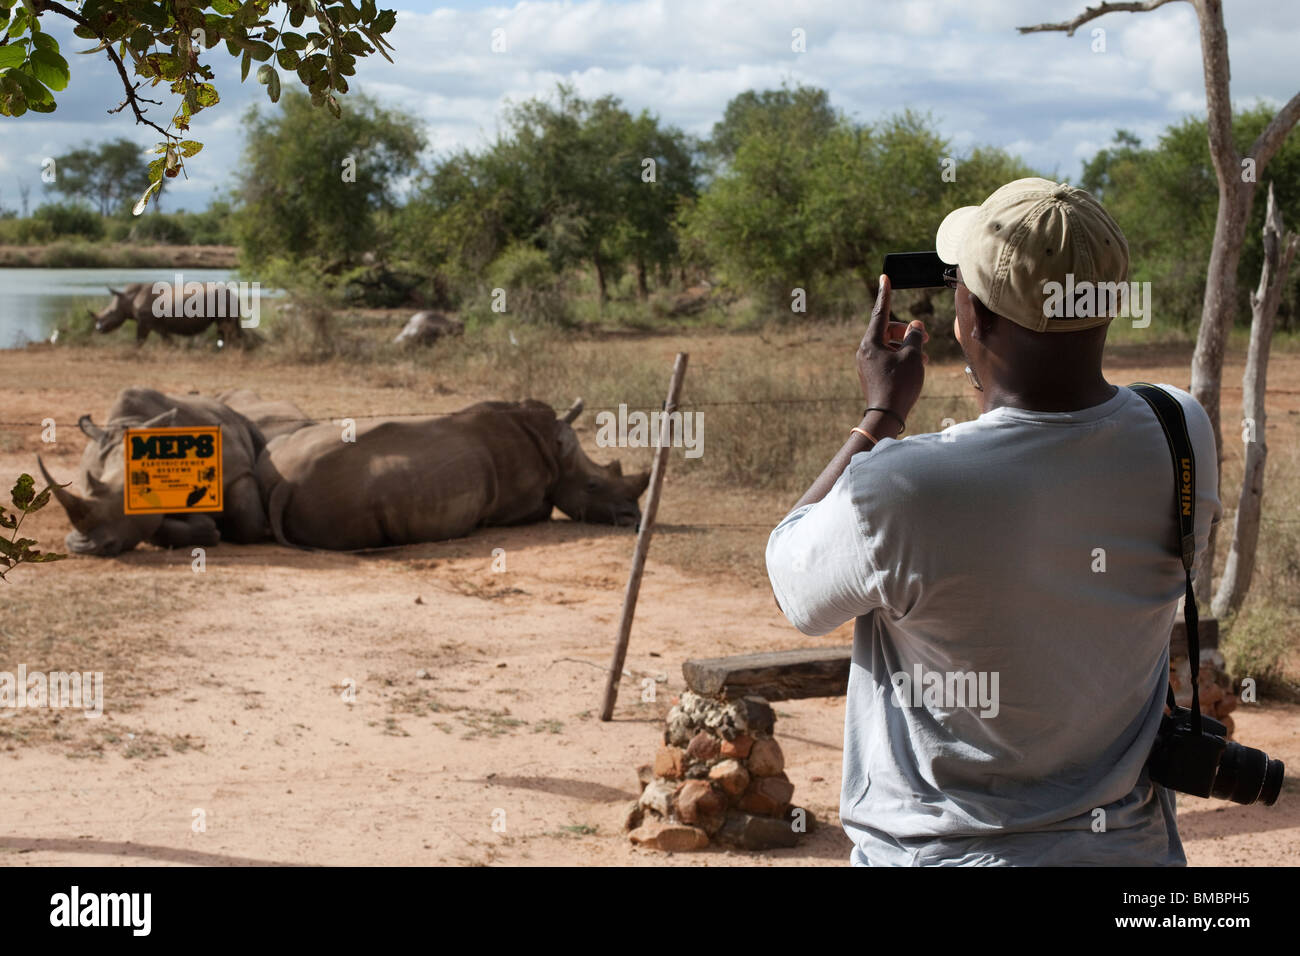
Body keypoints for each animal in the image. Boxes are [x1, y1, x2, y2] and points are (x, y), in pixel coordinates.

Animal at [38, 387, 267, 556]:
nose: (83, 548)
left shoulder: (238, 471)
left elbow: (249, 523)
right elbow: (155, 528)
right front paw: (207, 527)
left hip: (243, 421)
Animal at [93, 282, 248, 345]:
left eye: (110, 313)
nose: (98, 329)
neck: (128, 297)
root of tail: (234, 294)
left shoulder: (147, 322)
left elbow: (140, 339)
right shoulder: (155, 323)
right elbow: (164, 338)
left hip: (224, 301)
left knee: (226, 328)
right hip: (225, 302)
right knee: (225, 329)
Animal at [256, 398, 650, 548]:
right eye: (593, 485)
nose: (634, 517)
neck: (551, 450)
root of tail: (285, 483)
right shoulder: (521, 503)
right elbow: (543, 507)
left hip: (279, 452)